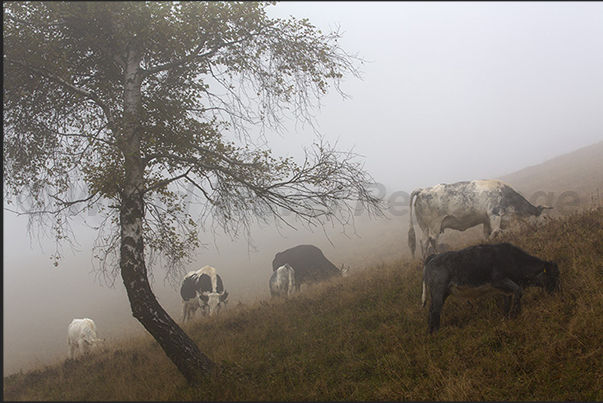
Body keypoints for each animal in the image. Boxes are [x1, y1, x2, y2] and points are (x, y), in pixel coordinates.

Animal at [408, 180, 556, 258]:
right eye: (544, 217)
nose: (550, 227)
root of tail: (423, 190)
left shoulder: (486, 220)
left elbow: (486, 234)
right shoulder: (494, 214)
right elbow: (495, 232)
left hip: (424, 226)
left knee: (424, 241)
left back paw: (425, 259)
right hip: (435, 224)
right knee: (433, 239)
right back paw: (437, 254)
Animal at [422, 243, 560, 334]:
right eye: (554, 275)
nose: (559, 293)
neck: (514, 259)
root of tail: (433, 257)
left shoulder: (506, 289)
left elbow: (507, 302)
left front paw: (507, 317)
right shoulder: (498, 280)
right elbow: (518, 291)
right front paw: (516, 312)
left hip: (442, 293)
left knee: (431, 310)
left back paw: (430, 333)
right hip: (439, 291)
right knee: (435, 312)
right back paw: (438, 333)